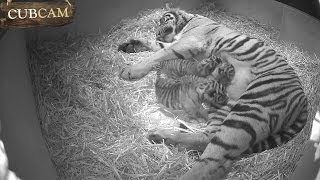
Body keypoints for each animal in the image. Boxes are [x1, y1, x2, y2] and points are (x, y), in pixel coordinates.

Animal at [117, 8, 308, 180]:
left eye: (163, 20)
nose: (157, 33)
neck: (188, 21)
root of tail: (304, 99)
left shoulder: (188, 42)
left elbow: (158, 53)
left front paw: (130, 70)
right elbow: (157, 46)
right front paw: (130, 45)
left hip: (251, 107)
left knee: (215, 159)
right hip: (226, 104)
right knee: (208, 137)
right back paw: (161, 136)